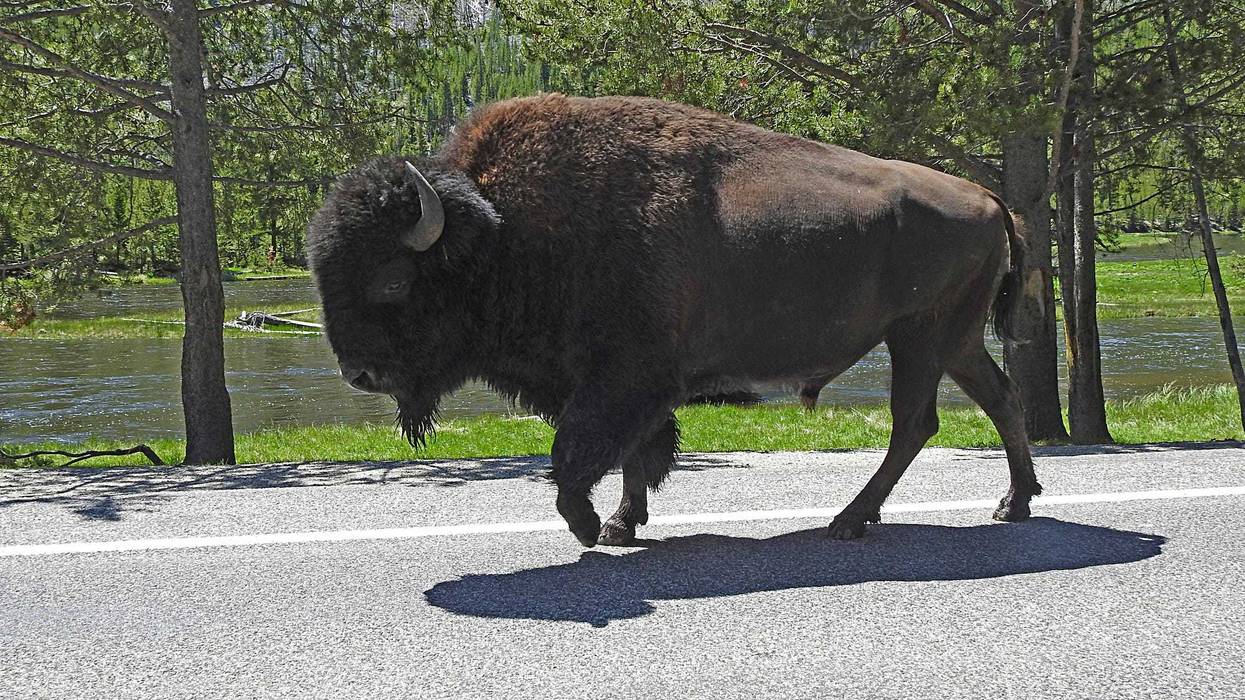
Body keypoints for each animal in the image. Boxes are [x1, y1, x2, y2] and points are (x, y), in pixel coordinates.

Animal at [307, 94, 1042, 547]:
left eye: (392, 279)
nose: (359, 374)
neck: (503, 231)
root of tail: (989, 197)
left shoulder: (621, 380)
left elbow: (579, 453)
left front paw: (587, 526)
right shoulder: (623, 385)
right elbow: (638, 450)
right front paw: (620, 525)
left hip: (919, 337)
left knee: (913, 423)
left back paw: (848, 520)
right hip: (952, 341)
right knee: (1001, 398)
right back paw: (1014, 504)